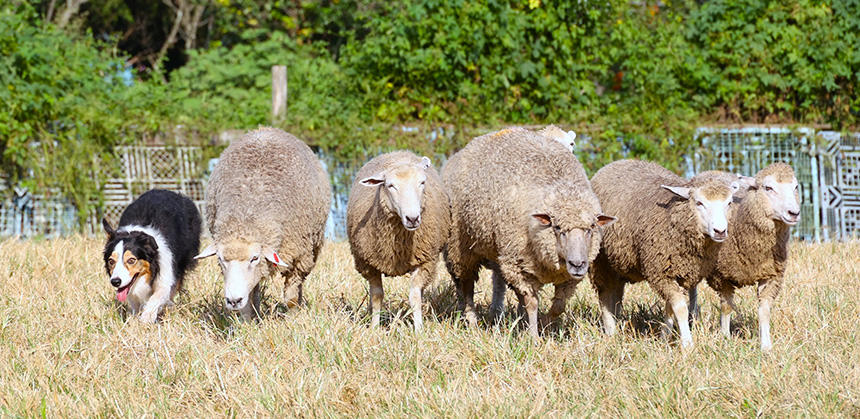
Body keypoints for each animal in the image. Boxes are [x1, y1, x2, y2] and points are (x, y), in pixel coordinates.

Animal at [193, 126, 330, 320]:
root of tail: (265, 129)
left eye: (254, 258)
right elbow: (249, 297)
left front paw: (294, 318)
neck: (246, 214)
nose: (233, 300)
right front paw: (247, 322)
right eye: (220, 259)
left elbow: (291, 295)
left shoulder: (299, 255)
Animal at [344, 151, 450, 332]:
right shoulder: (369, 265)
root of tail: (397, 153)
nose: (413, 218)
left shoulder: (425, 262)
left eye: (422, 182)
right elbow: (377, 296)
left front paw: (418, 329)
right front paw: (374, 327)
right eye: (390, 185)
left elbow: (415, 296)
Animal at [440, 128, 616, 338]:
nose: (578, 264)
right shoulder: (520, 266)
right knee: (465, 287)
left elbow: (559, 306)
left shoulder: (568, 278)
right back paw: (472, 322)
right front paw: (533, 336)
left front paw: (545, 323)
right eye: (557, 227)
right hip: (461, 248)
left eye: (591, 228)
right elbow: (532, 303)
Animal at [588, 158, 736, 348]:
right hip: (600, 261)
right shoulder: (660, 273)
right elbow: (680, 307)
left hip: (616, 262)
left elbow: (669, 308)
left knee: (615, 293)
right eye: (699, 203)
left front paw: (664, 337)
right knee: (605, 294)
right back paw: (611, 332)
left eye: (729, 203)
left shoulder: (677, 273)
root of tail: (617, 162)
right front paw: (687, 343)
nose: (720, 231)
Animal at [700, 162, 800, 352]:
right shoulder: (721, 276)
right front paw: (725, 339)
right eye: (768, 188)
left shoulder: (770, 275)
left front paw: (766, 346)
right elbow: (726, 308)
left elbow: (764, 311)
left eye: (796, 187)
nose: (794, 213)